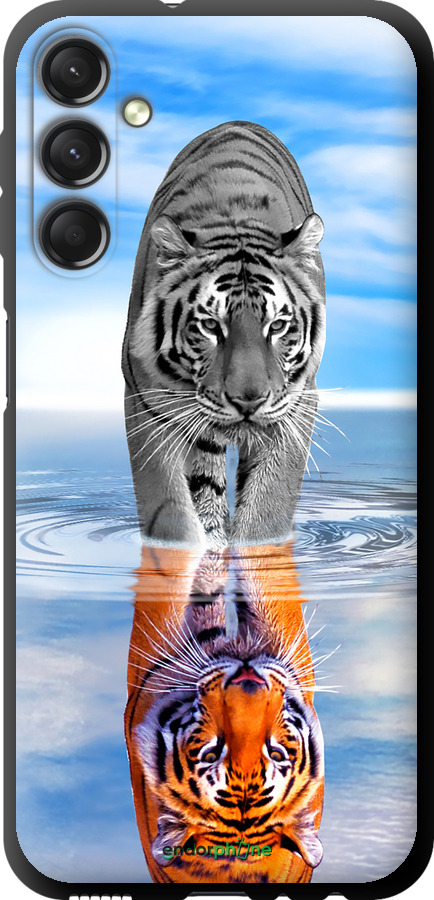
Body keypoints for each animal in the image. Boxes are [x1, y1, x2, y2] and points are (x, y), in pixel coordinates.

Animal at [122, 121, 326, 548]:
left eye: (277, 326)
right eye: (211, 326)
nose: (248, 401)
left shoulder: (297, 404)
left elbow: (268, 509)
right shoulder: (145, 401)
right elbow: (170, 511)